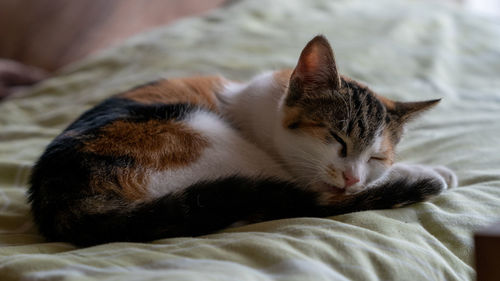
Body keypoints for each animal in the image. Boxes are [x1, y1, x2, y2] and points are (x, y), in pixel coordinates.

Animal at [27, 35, 458, 245]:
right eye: (337, 138)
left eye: (375, 158)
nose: (353, 177)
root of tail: (61, 201)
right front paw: (425, 170)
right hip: (204, 131)